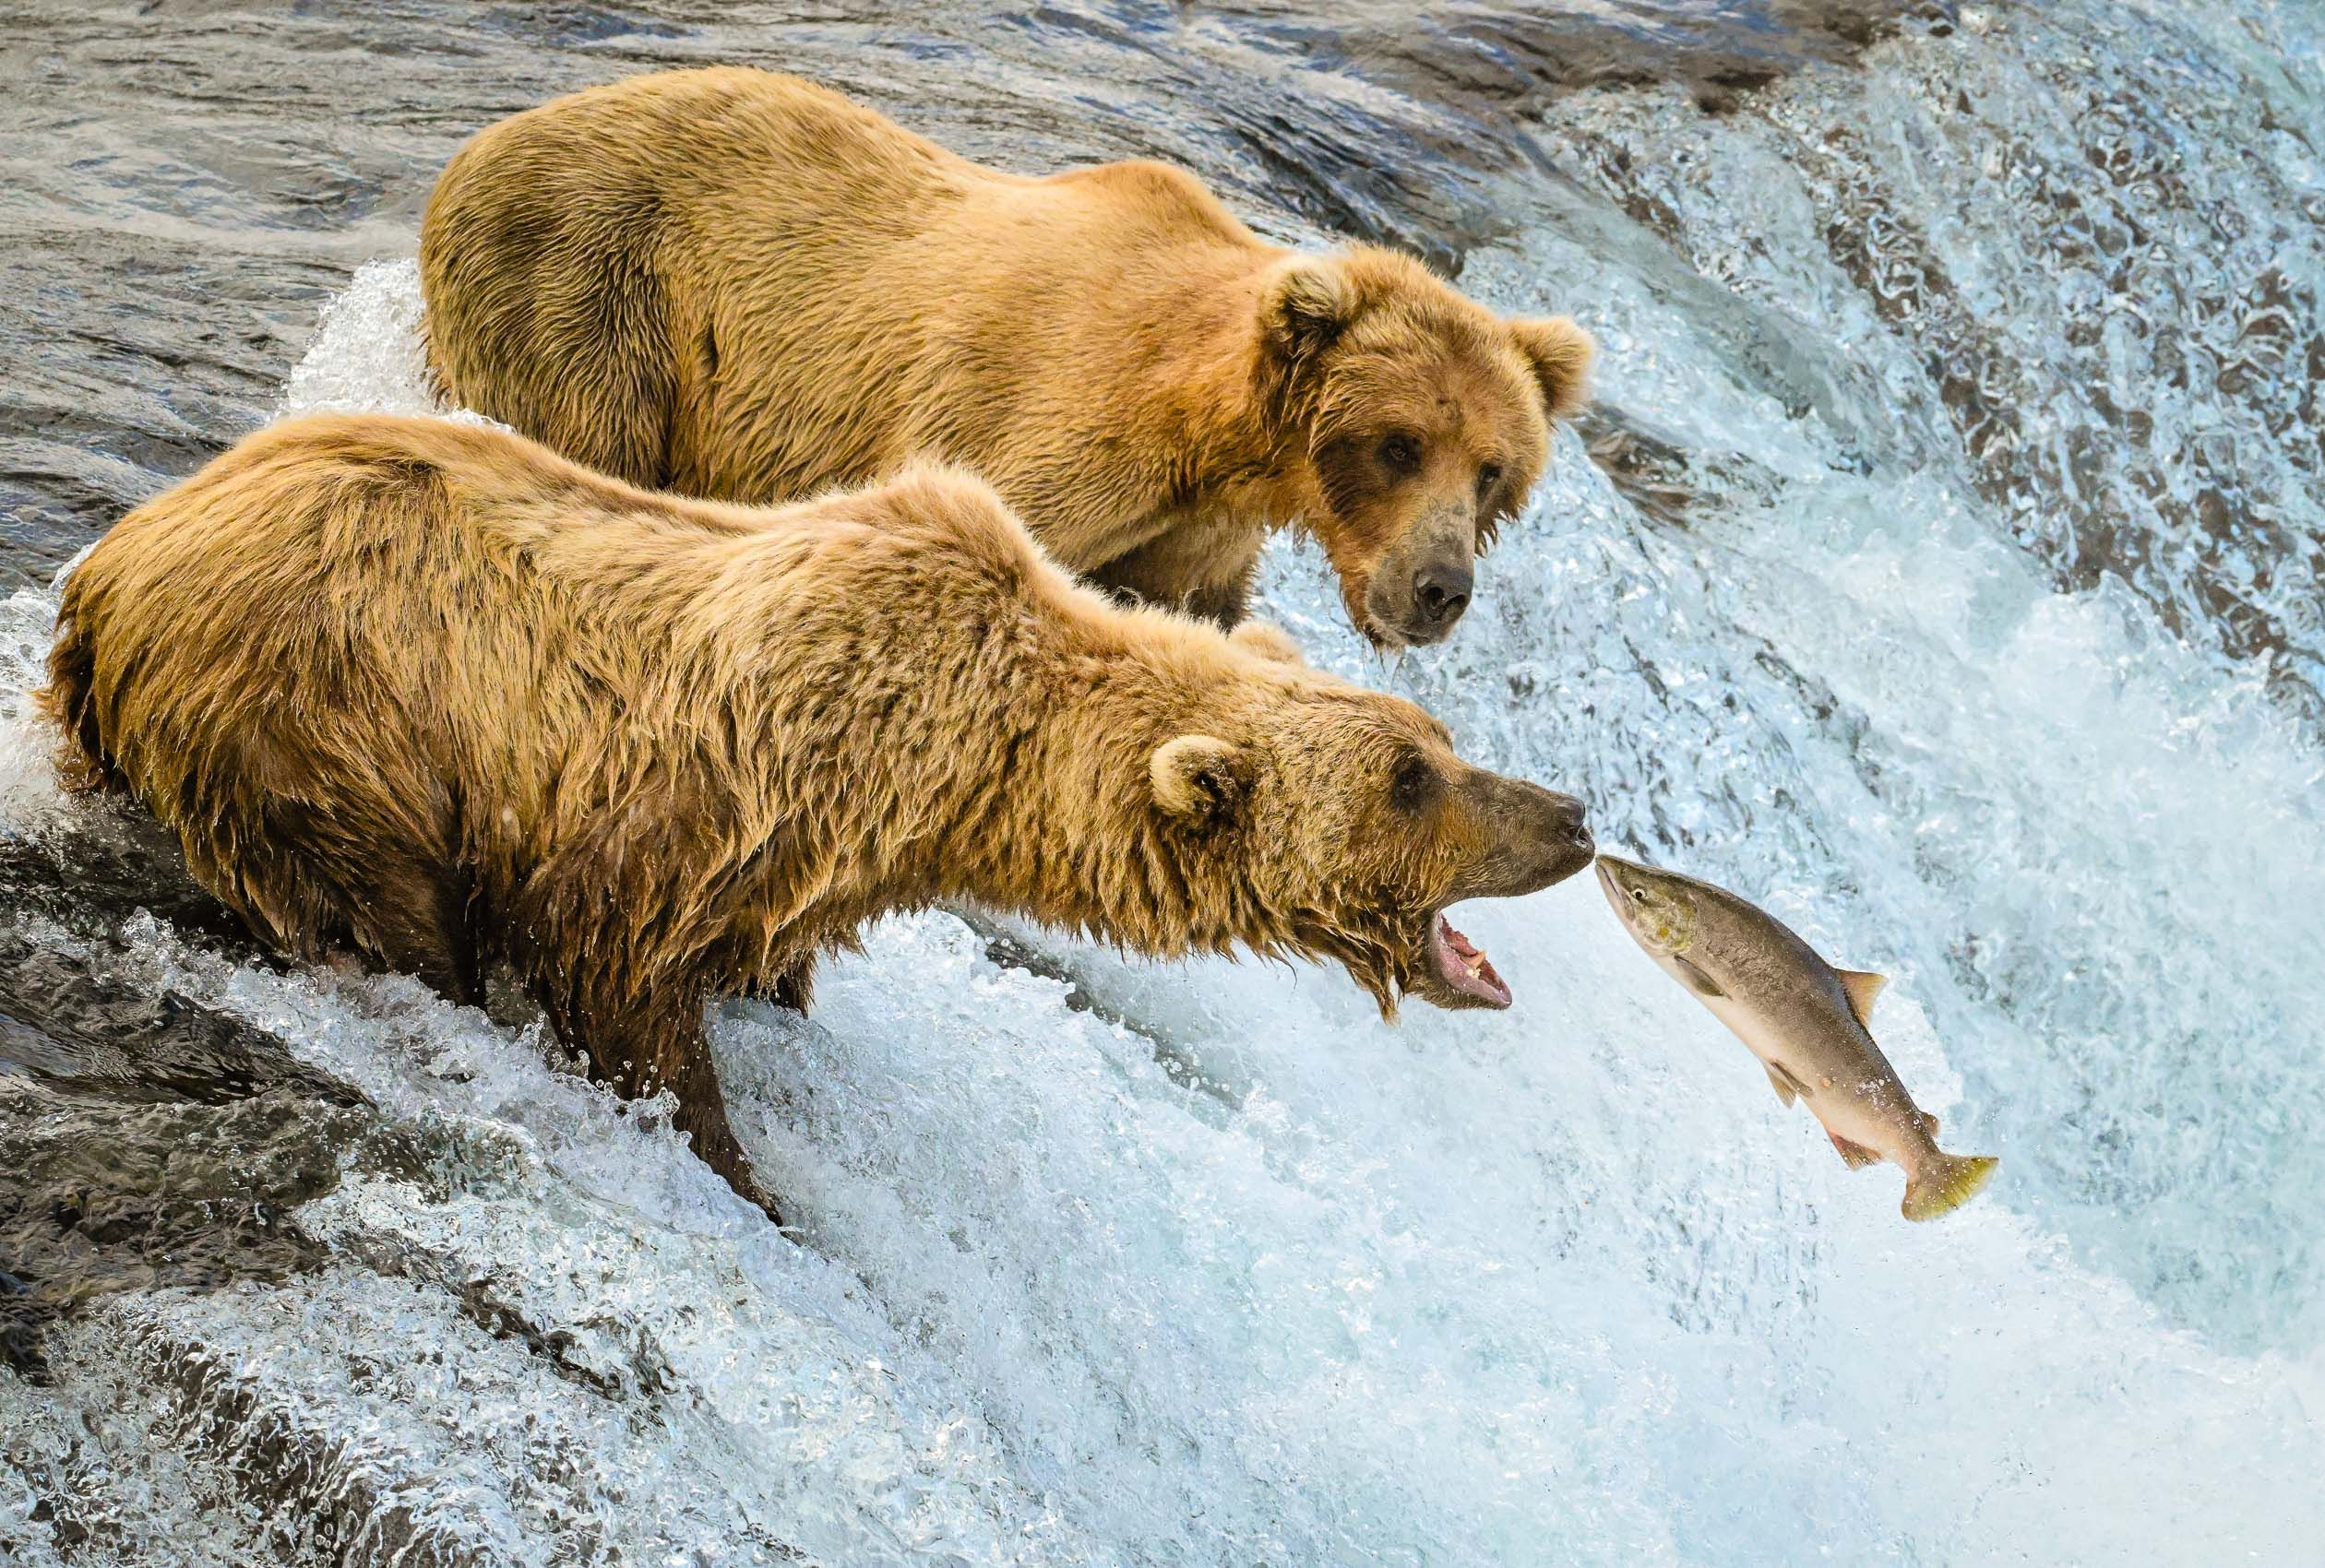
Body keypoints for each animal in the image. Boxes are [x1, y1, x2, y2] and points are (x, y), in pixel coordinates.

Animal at [41, 414, 1595, 1215]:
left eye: (1438, 744)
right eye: (1410, 780)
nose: (1572, 816)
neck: (962, 761)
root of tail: (107, 569)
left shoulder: (802, 867)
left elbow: (762, 969)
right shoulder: (690, 814)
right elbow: (622, 992)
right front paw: (743, 1173)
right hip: (311, 721)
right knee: (380, 904)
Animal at [419, 67, 1594, 648]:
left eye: (1494, 469)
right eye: (1400, 443)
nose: (1441, 588)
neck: (1217, 439)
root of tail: (477, 143)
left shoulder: (1192, 535)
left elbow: (1189, 610)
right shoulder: (1045, 431)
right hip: (591, 286)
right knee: (590, 433)